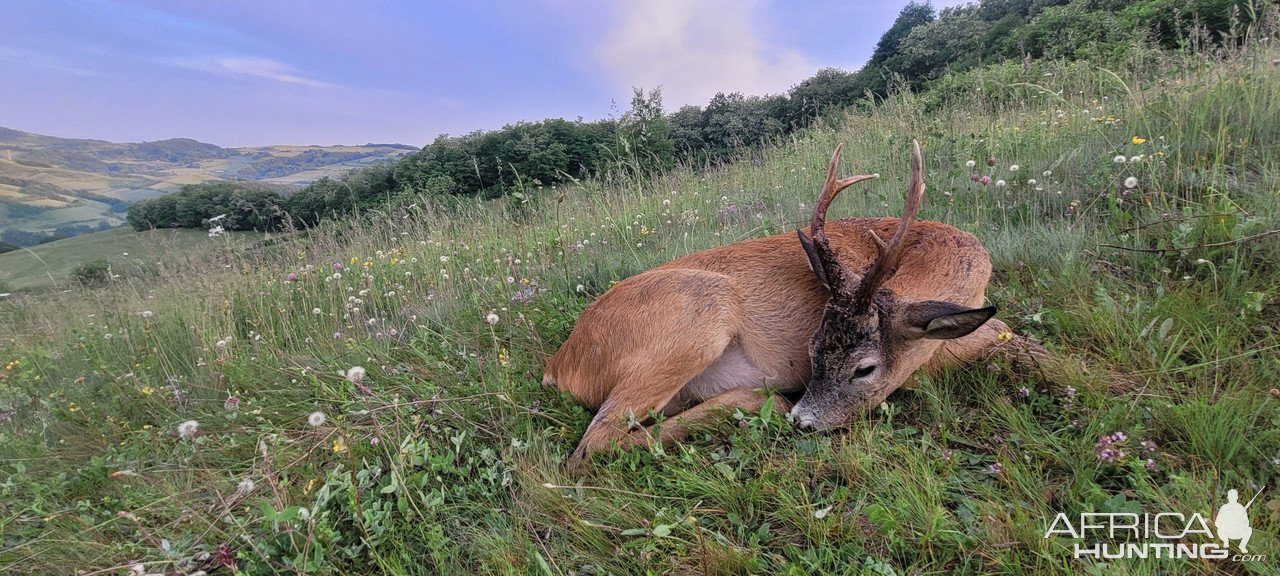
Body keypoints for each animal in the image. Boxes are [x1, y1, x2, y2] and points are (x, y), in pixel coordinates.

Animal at [545, 141, 1024, 471]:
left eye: (863, 369)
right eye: (811, 351)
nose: (804, 421)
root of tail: (560, 364)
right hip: (701, 310)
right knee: (592, 445)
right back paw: (763, 401)